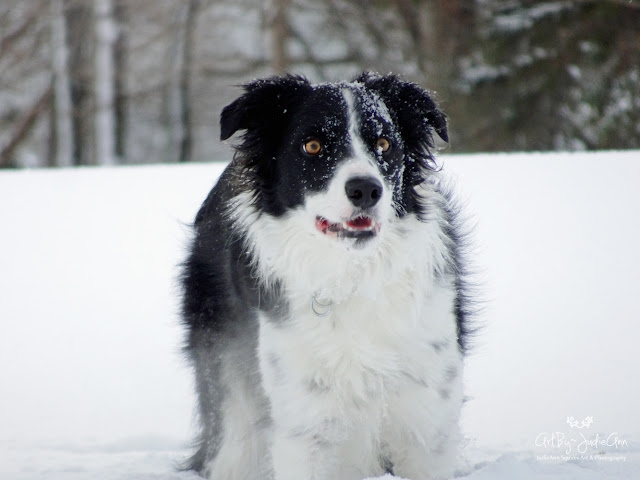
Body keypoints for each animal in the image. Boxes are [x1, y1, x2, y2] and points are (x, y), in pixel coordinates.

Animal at [182, 72, 472, 480]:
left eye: (384, 143)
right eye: (313, 146)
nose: (366, 189)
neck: (352, 274)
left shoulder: (426, 417)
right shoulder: (305, 422)